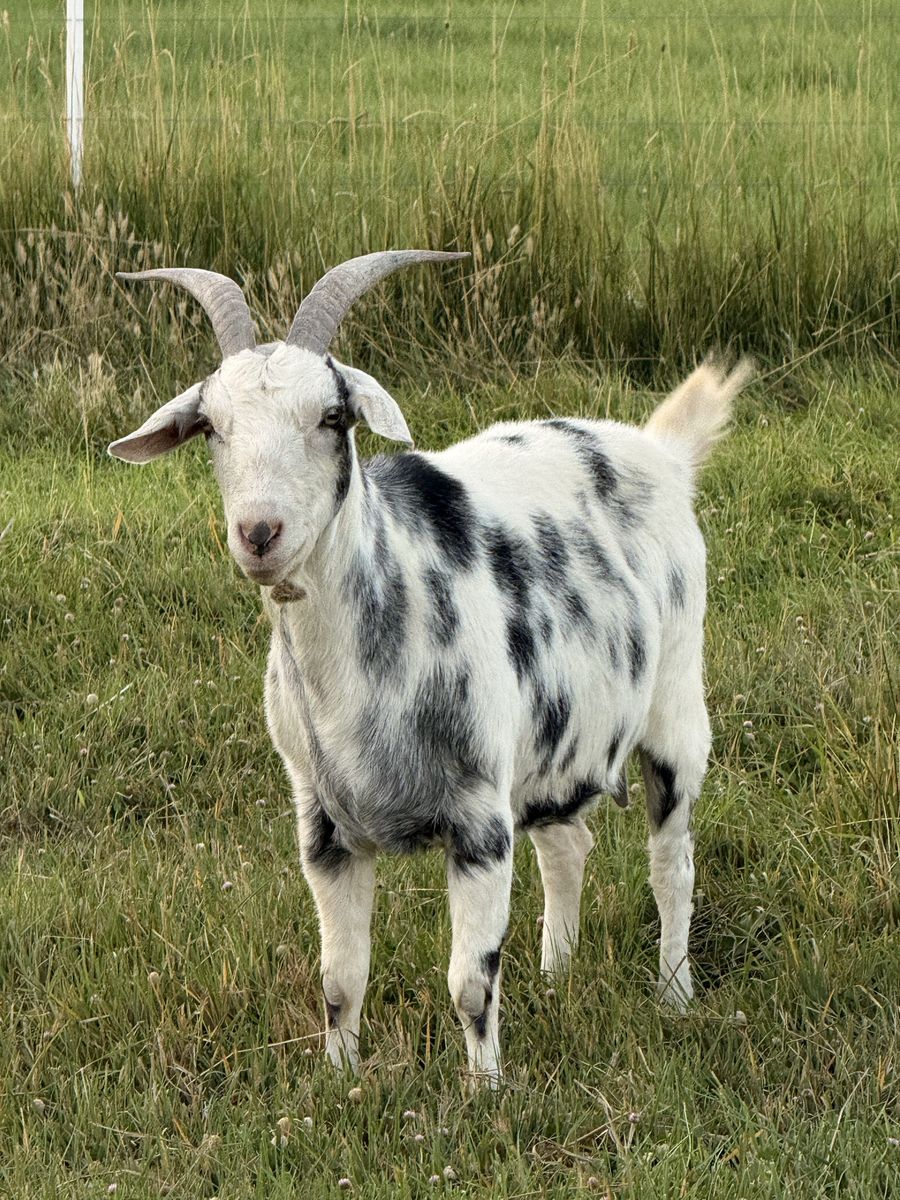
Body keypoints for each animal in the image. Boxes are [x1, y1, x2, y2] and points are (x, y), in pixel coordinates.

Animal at [109, 251, 751, 1082]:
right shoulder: (322, 822)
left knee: (672, 864)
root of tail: (660, 450)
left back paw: (673, 993)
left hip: (675, 706)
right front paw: (341, 1084)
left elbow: (470, 983)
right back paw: (557, 974)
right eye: (212, 425)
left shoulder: (479, 818)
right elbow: (339, 977)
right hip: (549, 746)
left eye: (333, 417)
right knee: (568, 846)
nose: (259, 533)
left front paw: (486, 1093)